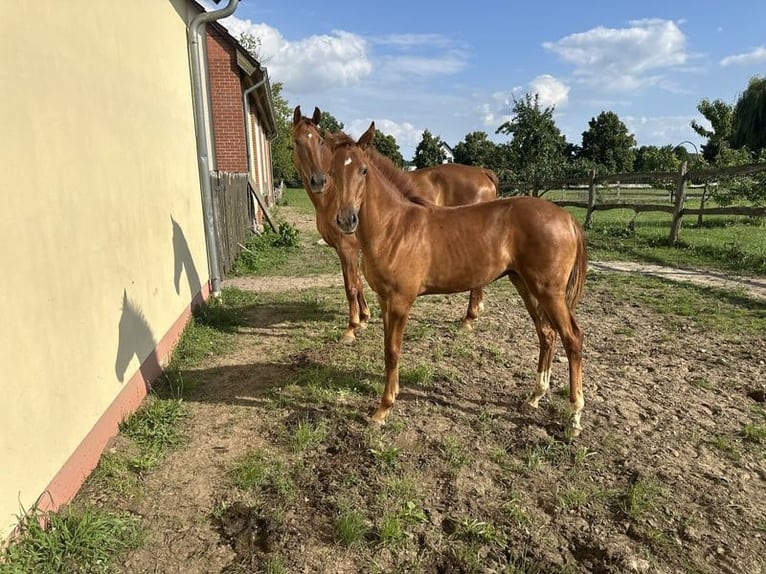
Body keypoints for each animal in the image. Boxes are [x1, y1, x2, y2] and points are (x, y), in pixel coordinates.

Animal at [291, 106, 498, 342]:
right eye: (296, 141)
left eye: (319, 141)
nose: (318, 181)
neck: (332, 196)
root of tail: (482, 172)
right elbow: (359, 283)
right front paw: (364, 317)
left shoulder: (347, 247)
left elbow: (351, 285)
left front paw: (352, 327)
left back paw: (468, 318)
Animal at [329, 123, 588, 437]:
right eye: (331, 172)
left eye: (363, 170)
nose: (346, 220)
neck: (394, 227)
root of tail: (568, 219)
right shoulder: (384, 298)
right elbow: (388, 351)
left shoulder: (401, 301)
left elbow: (393, 351)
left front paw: (383, 409)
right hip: (525, 285)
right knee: (547, 334)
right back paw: (534, 397)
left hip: (550, 292)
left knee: (572, 338)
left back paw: (574, 419)